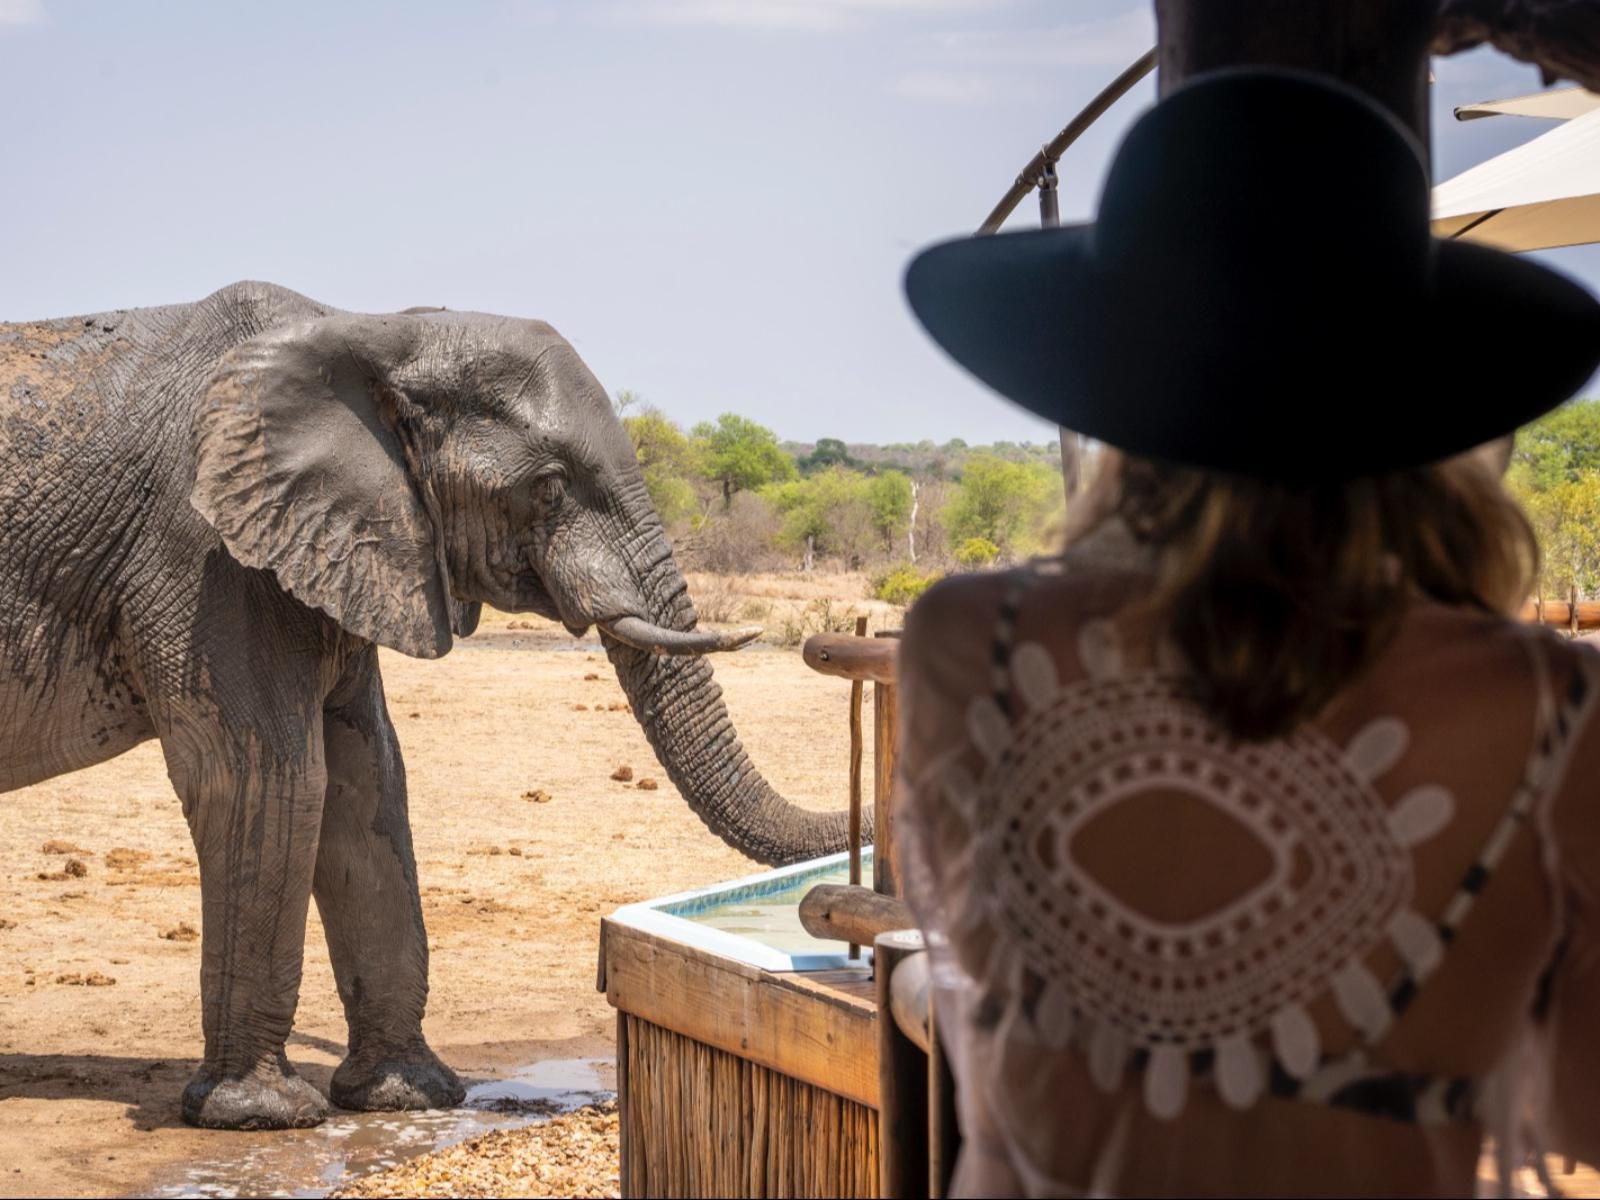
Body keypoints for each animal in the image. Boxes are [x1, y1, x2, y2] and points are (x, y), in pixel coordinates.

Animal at [0, 286, 864, 1132]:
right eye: (549, 488)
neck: (370, 329)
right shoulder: (204, 554)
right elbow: (268, 782)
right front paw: (261, 1116)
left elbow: (367, 785)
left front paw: (405, 1097)